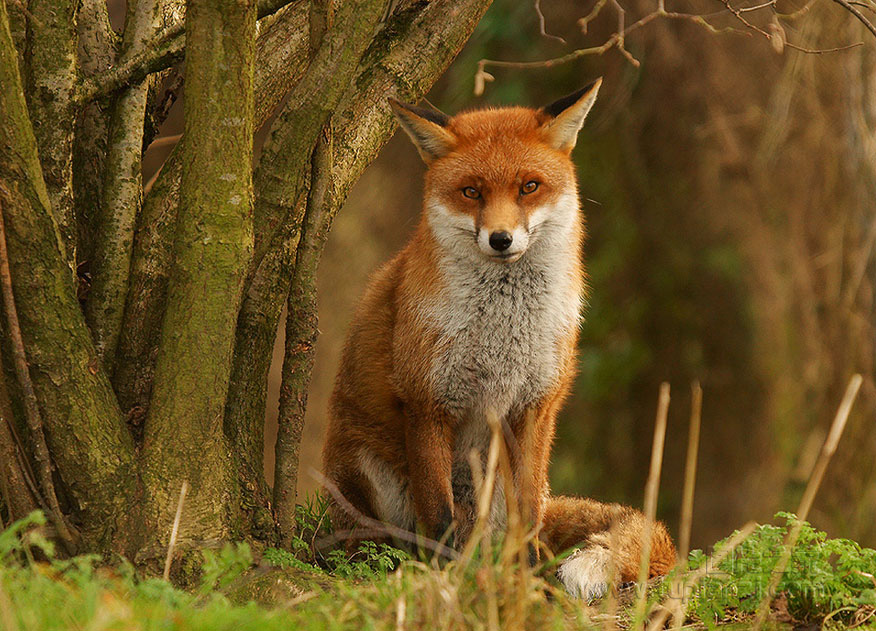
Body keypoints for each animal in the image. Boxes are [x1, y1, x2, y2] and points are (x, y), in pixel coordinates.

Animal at [326, 81, 676, 600]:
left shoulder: (535, 407)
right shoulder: (428, 402)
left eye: (529, 186)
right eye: (471, 192)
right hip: (368, 476)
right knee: (379, 541)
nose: (500, 239)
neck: (503, 328)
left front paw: (528, 585)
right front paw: (443, 580)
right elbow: (439, 518)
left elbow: (527, 518)